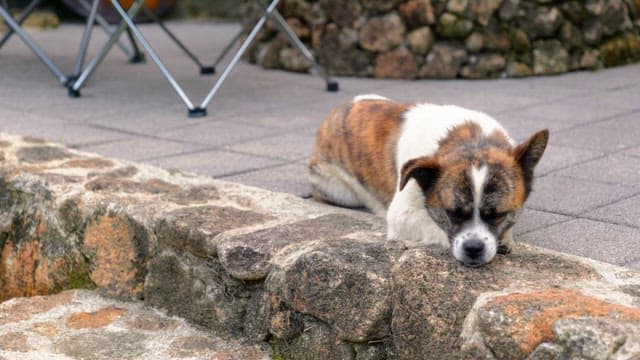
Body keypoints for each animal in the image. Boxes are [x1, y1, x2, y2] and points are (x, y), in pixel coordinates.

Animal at [308, 95, 548, 268]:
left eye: (497, 214)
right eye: (452, 212)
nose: (473, 248)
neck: (472, 138)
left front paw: (506, 238)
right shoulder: (401, 215)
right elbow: (432, 226)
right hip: (337, 188)